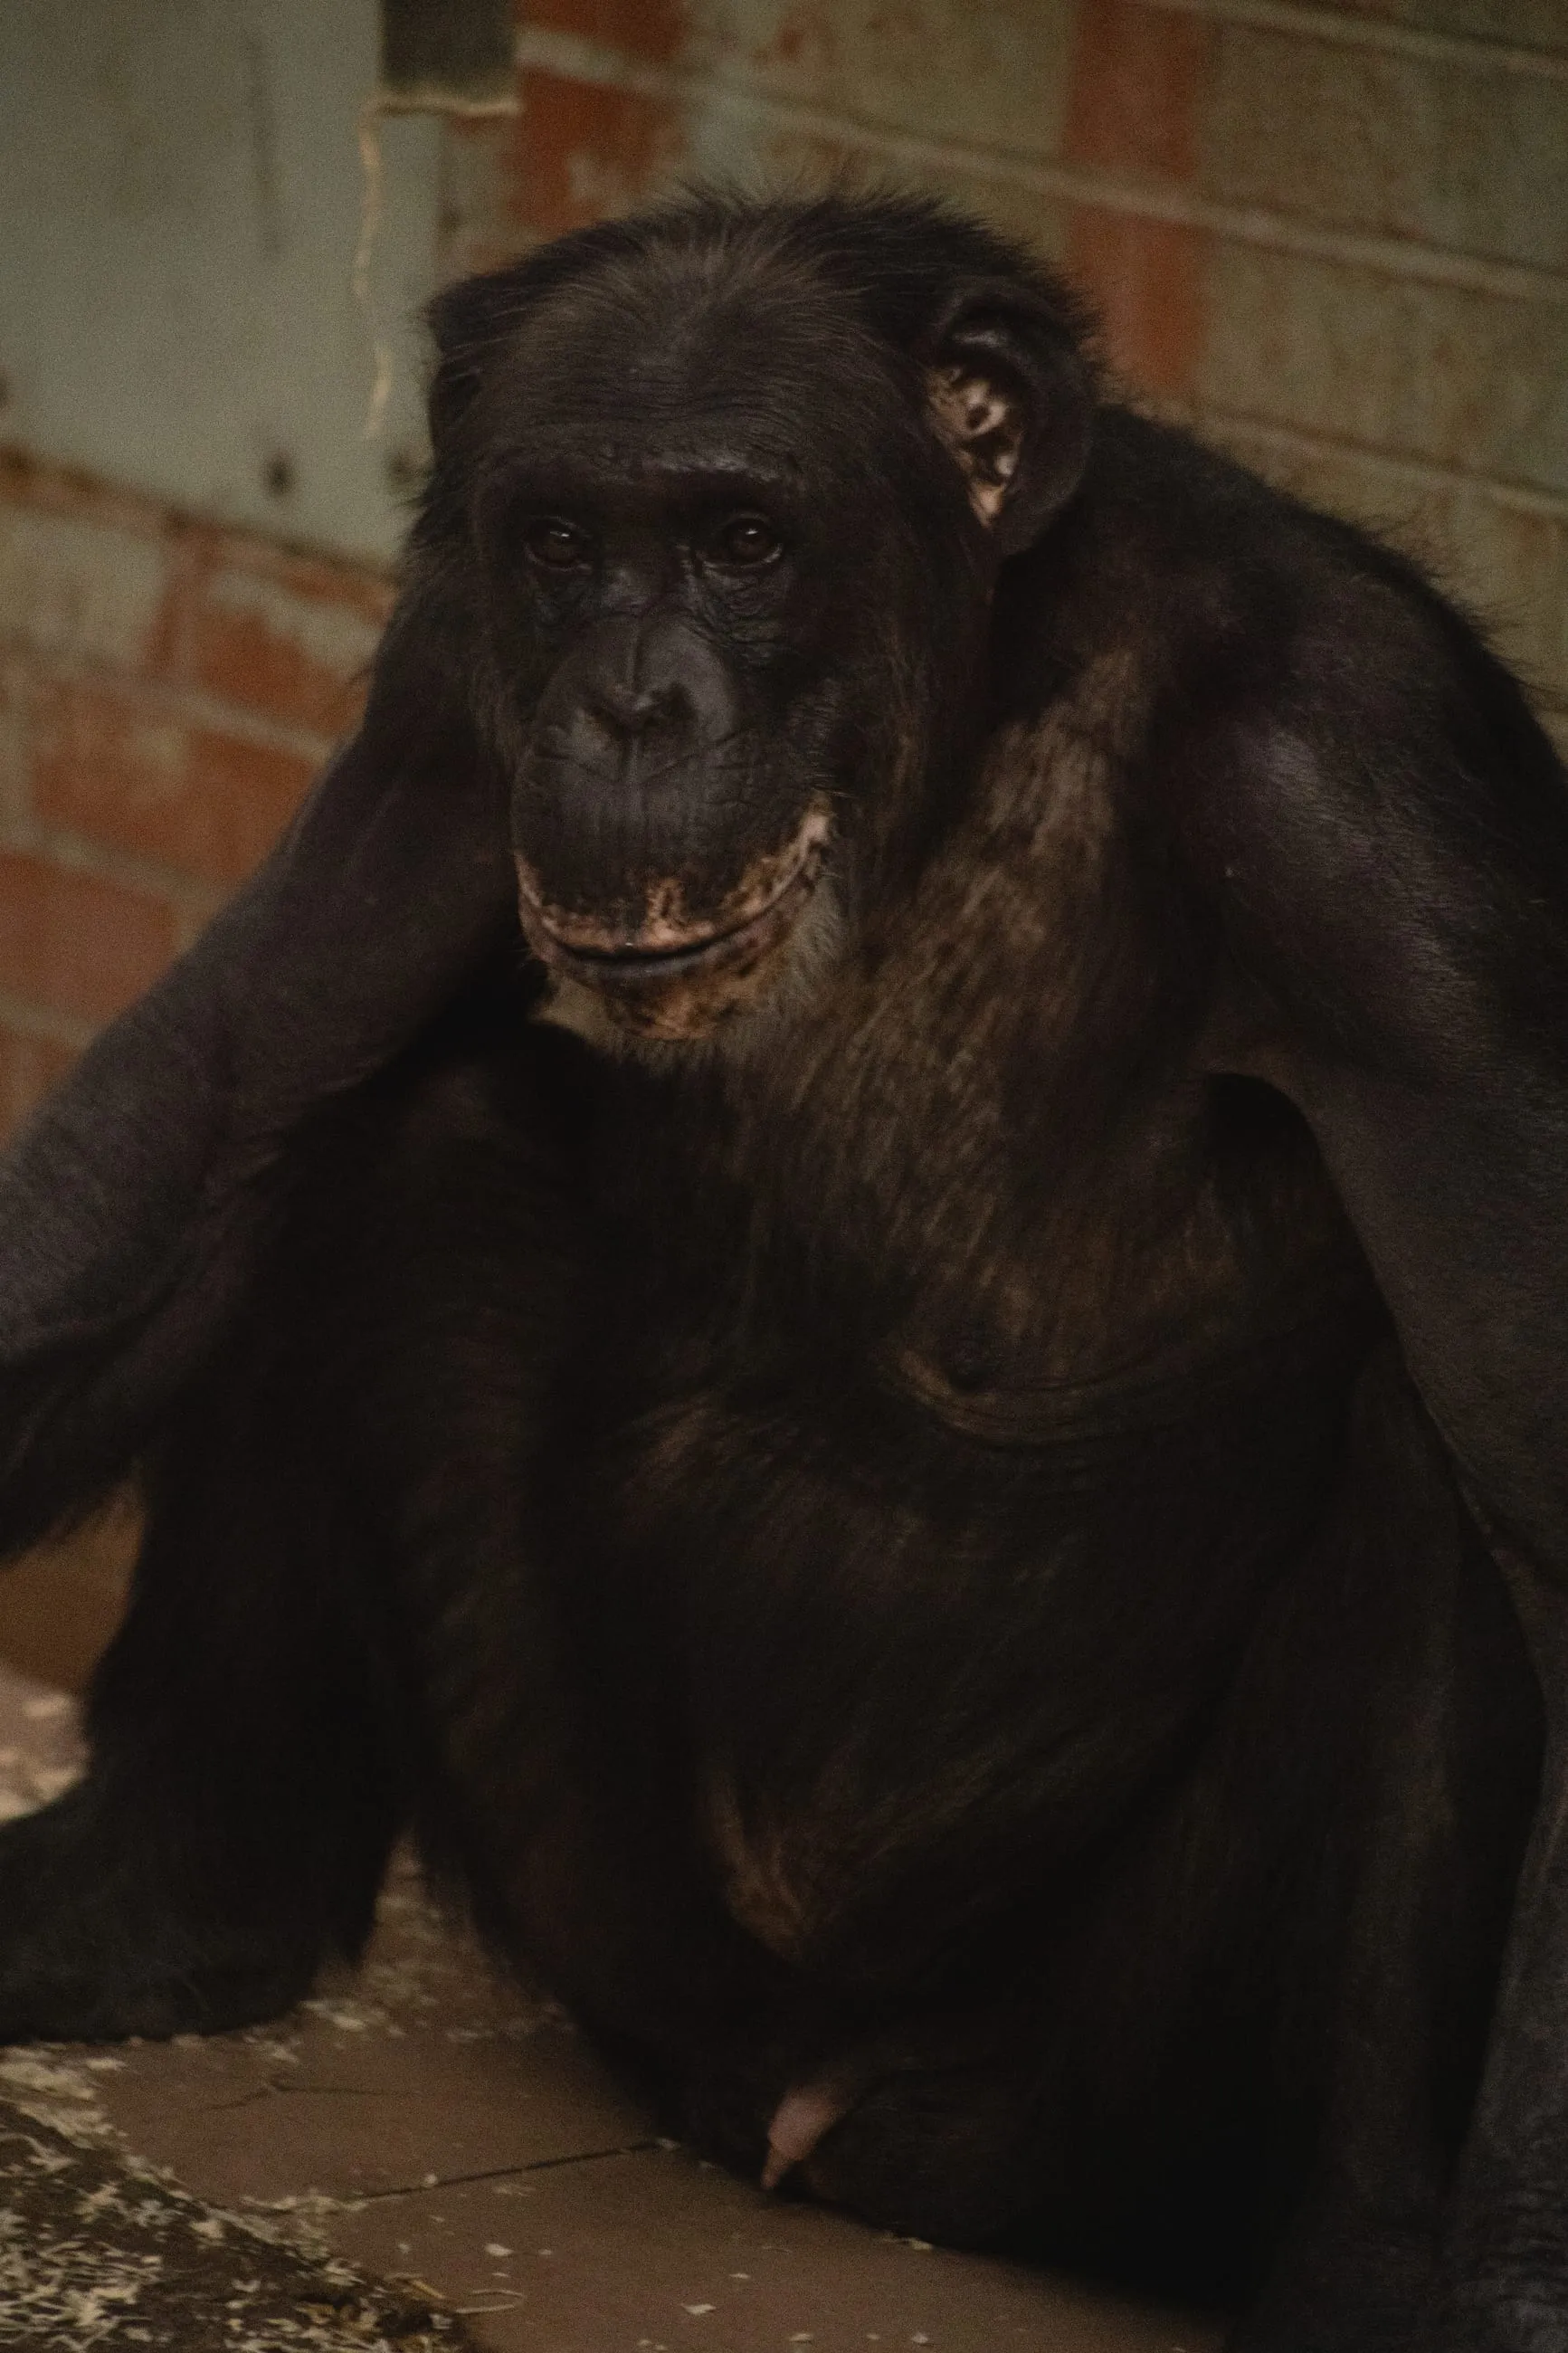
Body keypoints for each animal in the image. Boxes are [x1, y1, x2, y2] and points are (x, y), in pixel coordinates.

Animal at [0, 191, 1564, 2351]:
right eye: (564, 543)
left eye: (745, 541)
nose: (627, 704)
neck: (975, 695)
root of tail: (797, 2113)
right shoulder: (441, 696)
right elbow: (217, 1100)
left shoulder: (1370, 815)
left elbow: (1544, 1495)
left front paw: (1504, 2283)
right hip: (614, 1909)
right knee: (372, 1130)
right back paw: (153, 1897)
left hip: (1048, 2102)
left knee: (1429, 1455)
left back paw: (1356, 2264)